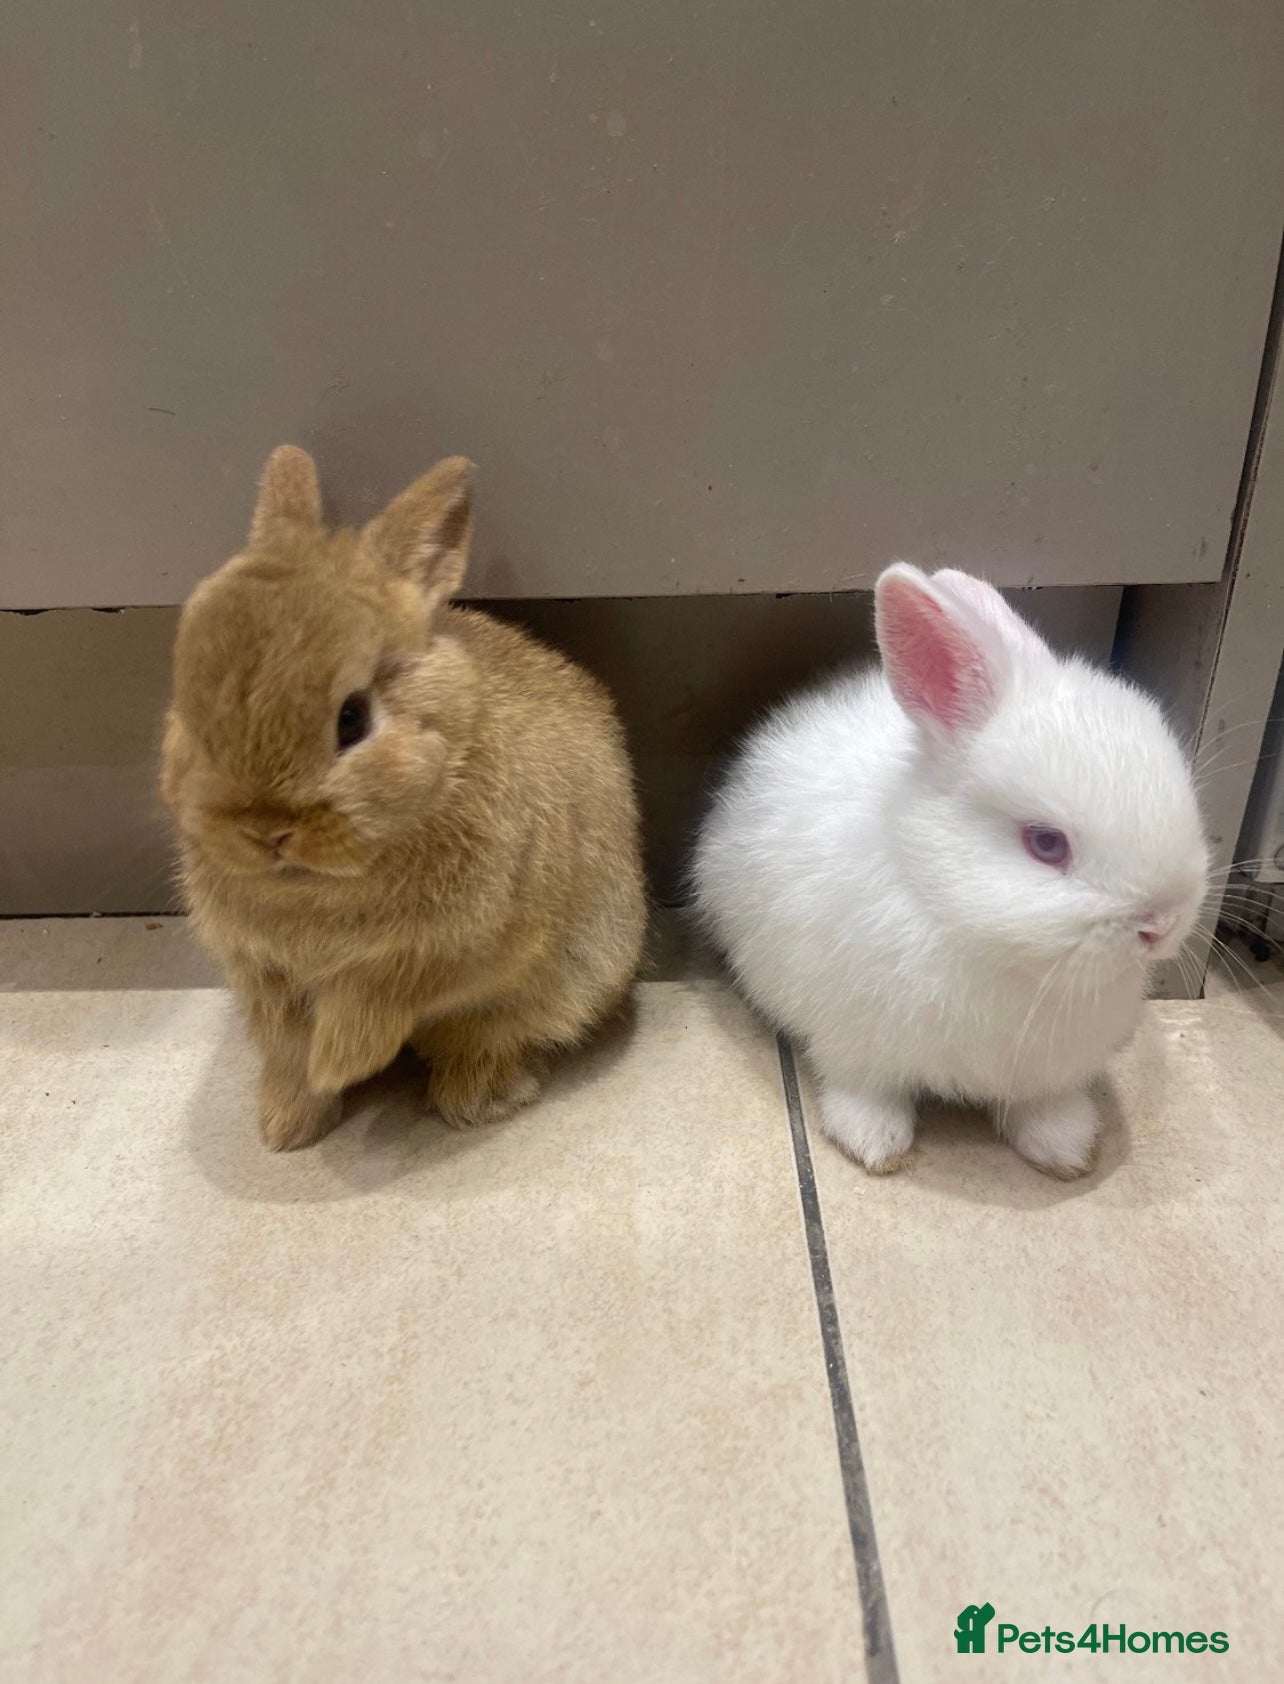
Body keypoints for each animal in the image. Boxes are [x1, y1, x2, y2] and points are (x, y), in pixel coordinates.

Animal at [161, 445, 646, 1150]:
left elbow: (375, 1003)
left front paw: (339, 1062)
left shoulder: (452, 949)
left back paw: (472, 1101)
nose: (264, 829)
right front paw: (291, 1121)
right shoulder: (264, 973)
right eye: (189, 700)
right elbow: (289, 1043)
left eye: (353, 719)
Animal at [693, 563, 1209, 1178]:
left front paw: (1065, 1147)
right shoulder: (854, 1039)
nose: (1162, 924)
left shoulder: (1043, 1069)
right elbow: (863, 1088)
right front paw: (875, 1143)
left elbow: (1040, 1104)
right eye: (1046, 844)